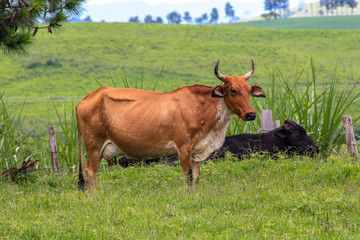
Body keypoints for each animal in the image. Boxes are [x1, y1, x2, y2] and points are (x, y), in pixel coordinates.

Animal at [76, 59, 264, 191]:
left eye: (249, 90)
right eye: (233, 90)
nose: (251, 114)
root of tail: (87, 98)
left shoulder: (197, 152)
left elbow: (196, 178)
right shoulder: (183, 148)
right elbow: (188, 177)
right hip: (94, 146)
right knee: (90, 172)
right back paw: (94, 198)